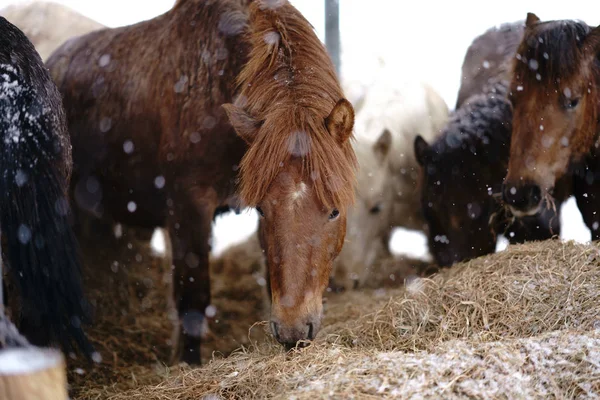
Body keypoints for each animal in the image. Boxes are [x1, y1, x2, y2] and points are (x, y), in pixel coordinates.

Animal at [48, 0, 356, 362]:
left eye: (334, 211)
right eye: (262, 210)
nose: (293, 331)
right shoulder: (189, 208)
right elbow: (193, 299)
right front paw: (187, 363)